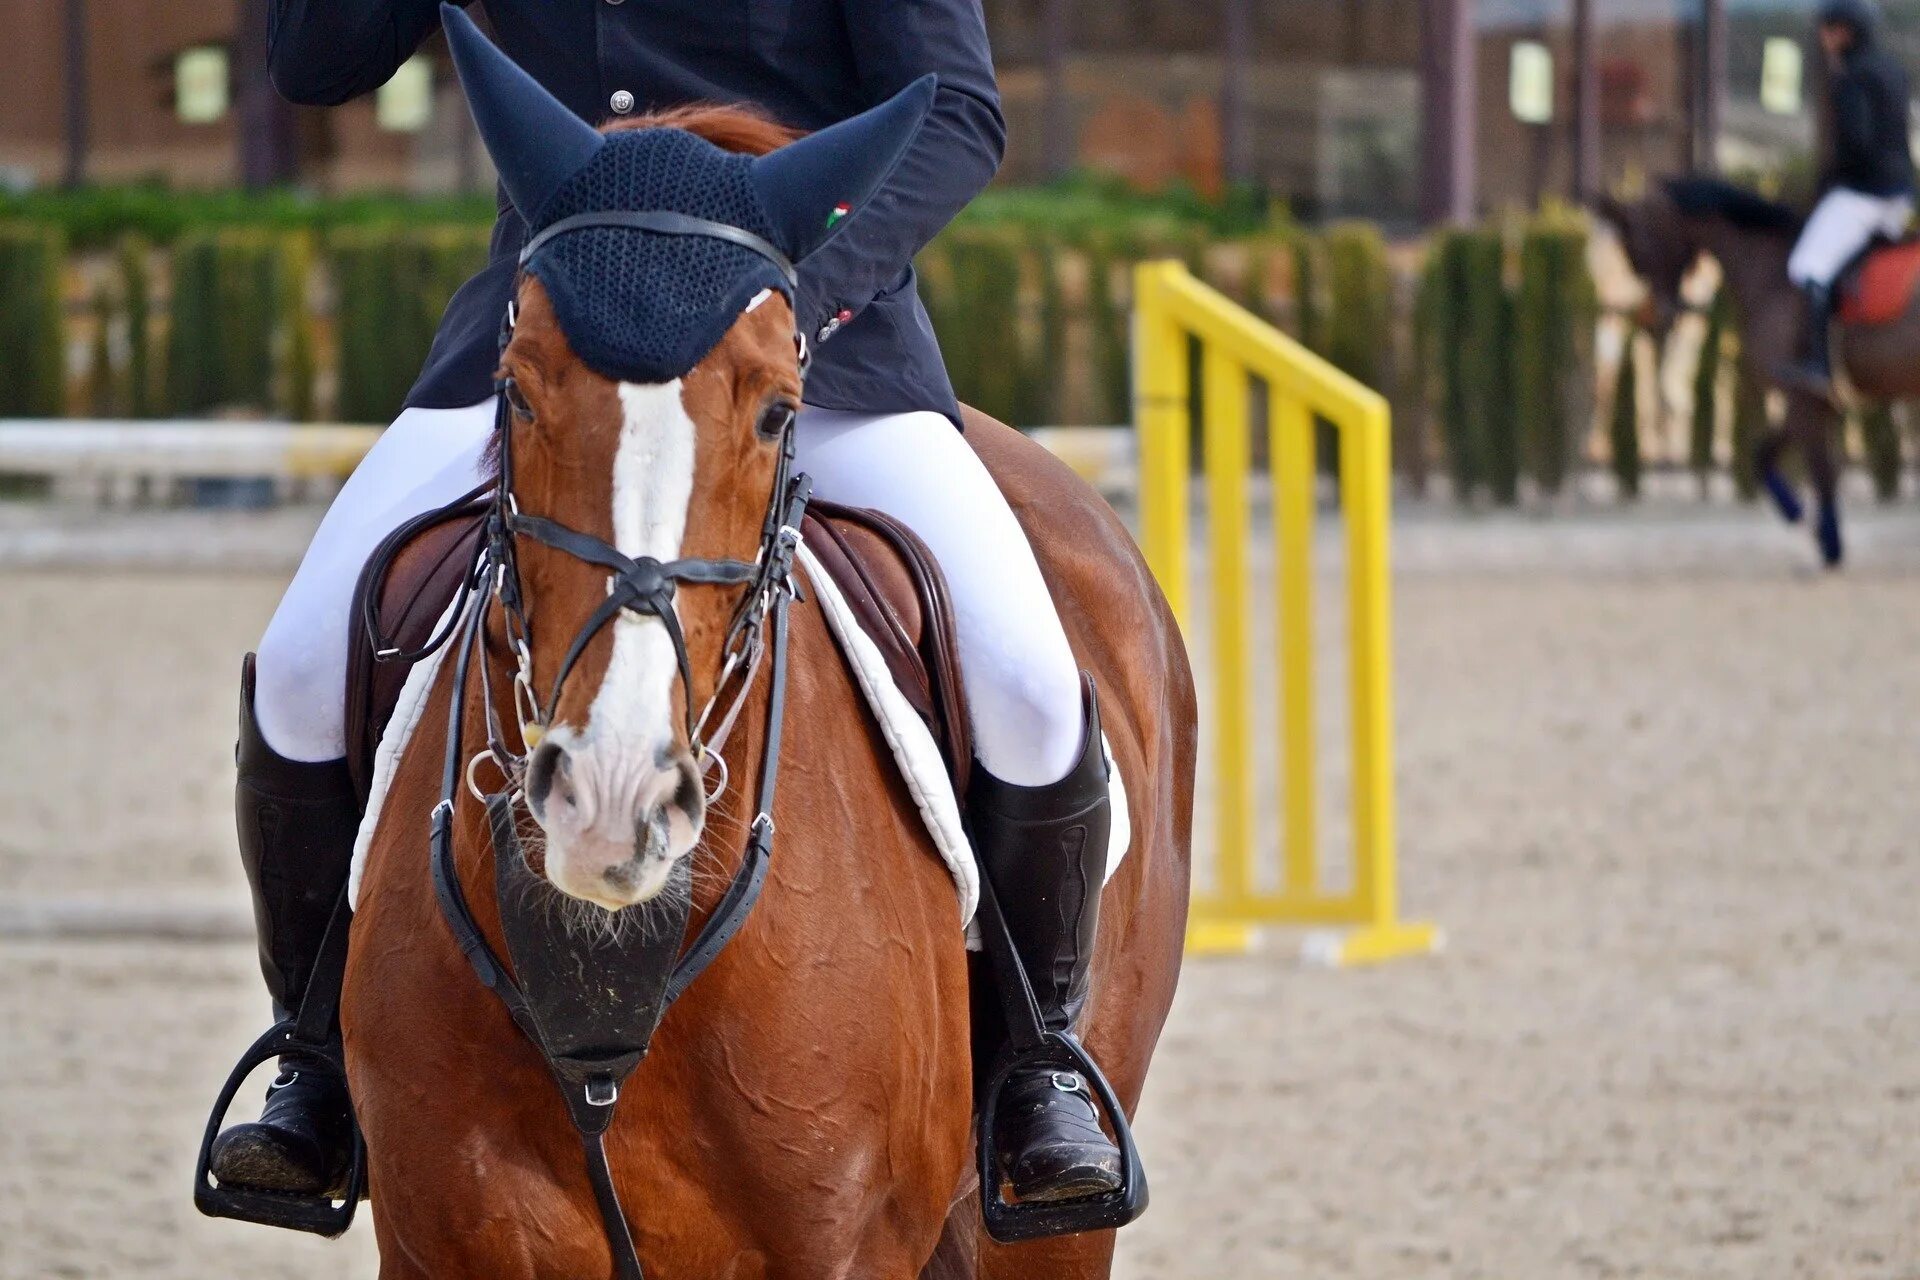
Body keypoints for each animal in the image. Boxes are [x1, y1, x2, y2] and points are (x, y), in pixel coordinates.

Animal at [1589, 176, 1920, 564]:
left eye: (1635, 251)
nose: (1653, 320)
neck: (1769, 273)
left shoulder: (1801, 398)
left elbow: (1820, 472)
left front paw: (1828, 544)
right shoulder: (1814, 402)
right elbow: (1766, 456)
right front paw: (1801, 518)